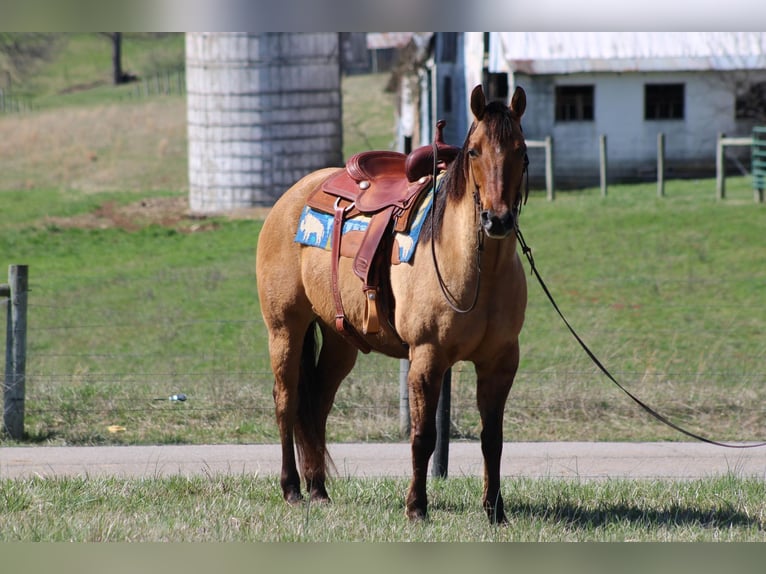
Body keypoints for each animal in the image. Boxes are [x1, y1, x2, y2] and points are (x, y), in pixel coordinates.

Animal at [256, 84, 528, 528]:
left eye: (521, 151)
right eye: (474, 151)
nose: (497, 220)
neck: (476, 272)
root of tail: (293, 196)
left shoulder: (500, 362)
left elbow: (493, 438)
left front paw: (495, 511)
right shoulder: (427, 358)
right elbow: (423, 437)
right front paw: (416, 507)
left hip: (339, 341)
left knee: (317, 406)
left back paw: (319, 491)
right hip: (284, 329)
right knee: (287, 400)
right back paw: (292, 489)